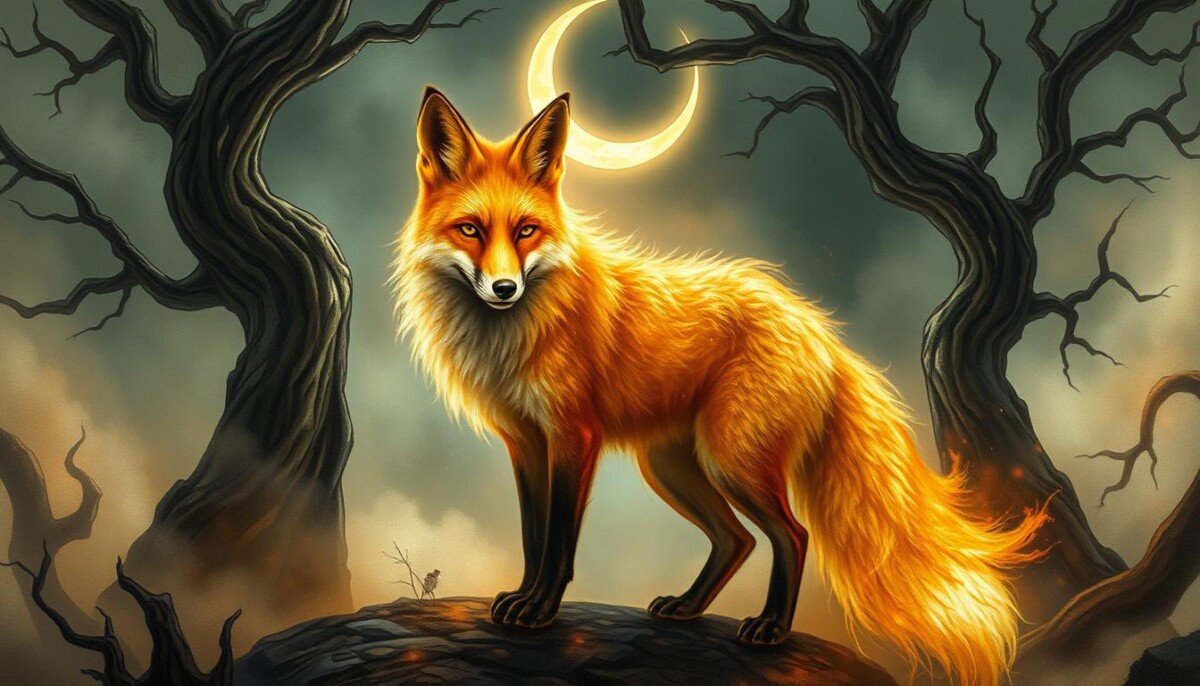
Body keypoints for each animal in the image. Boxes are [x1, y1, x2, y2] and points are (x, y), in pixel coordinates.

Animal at [392, 87, 1048, 686]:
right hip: (674, 466)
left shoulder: (574, 436)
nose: (504, 288)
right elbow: (533, 536)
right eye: (471, 230)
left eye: (526, 230)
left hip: (731, 461)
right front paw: (521, 598)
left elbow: (558, 542)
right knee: (737, 541)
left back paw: (772, 629)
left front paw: (541, 610)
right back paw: (686, 608)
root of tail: (819, 329)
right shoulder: (526, 441)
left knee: (792, 534)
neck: (511, 334)